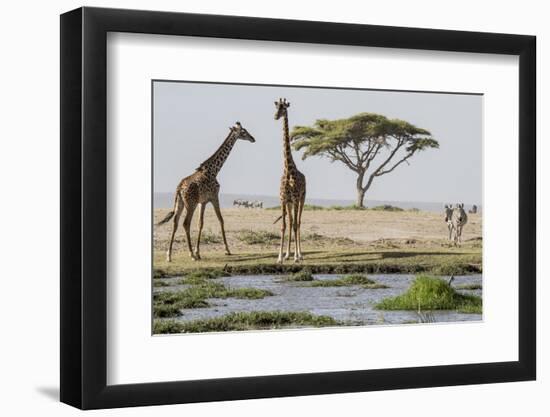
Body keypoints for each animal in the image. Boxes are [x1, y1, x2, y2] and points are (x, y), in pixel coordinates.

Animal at [157, 120, 256, 260]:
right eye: (243, 131)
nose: (253, 138)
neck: (214, 170)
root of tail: (179, 188)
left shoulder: (202, 202)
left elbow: (200, 223)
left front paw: (198, 252)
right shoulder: (214, 197)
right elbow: (221, 219)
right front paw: (227, 250)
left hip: (180, 203)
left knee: (175, 223)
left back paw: (169, 255)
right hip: (190, 204)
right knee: (185, 223)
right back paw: (191, 255)